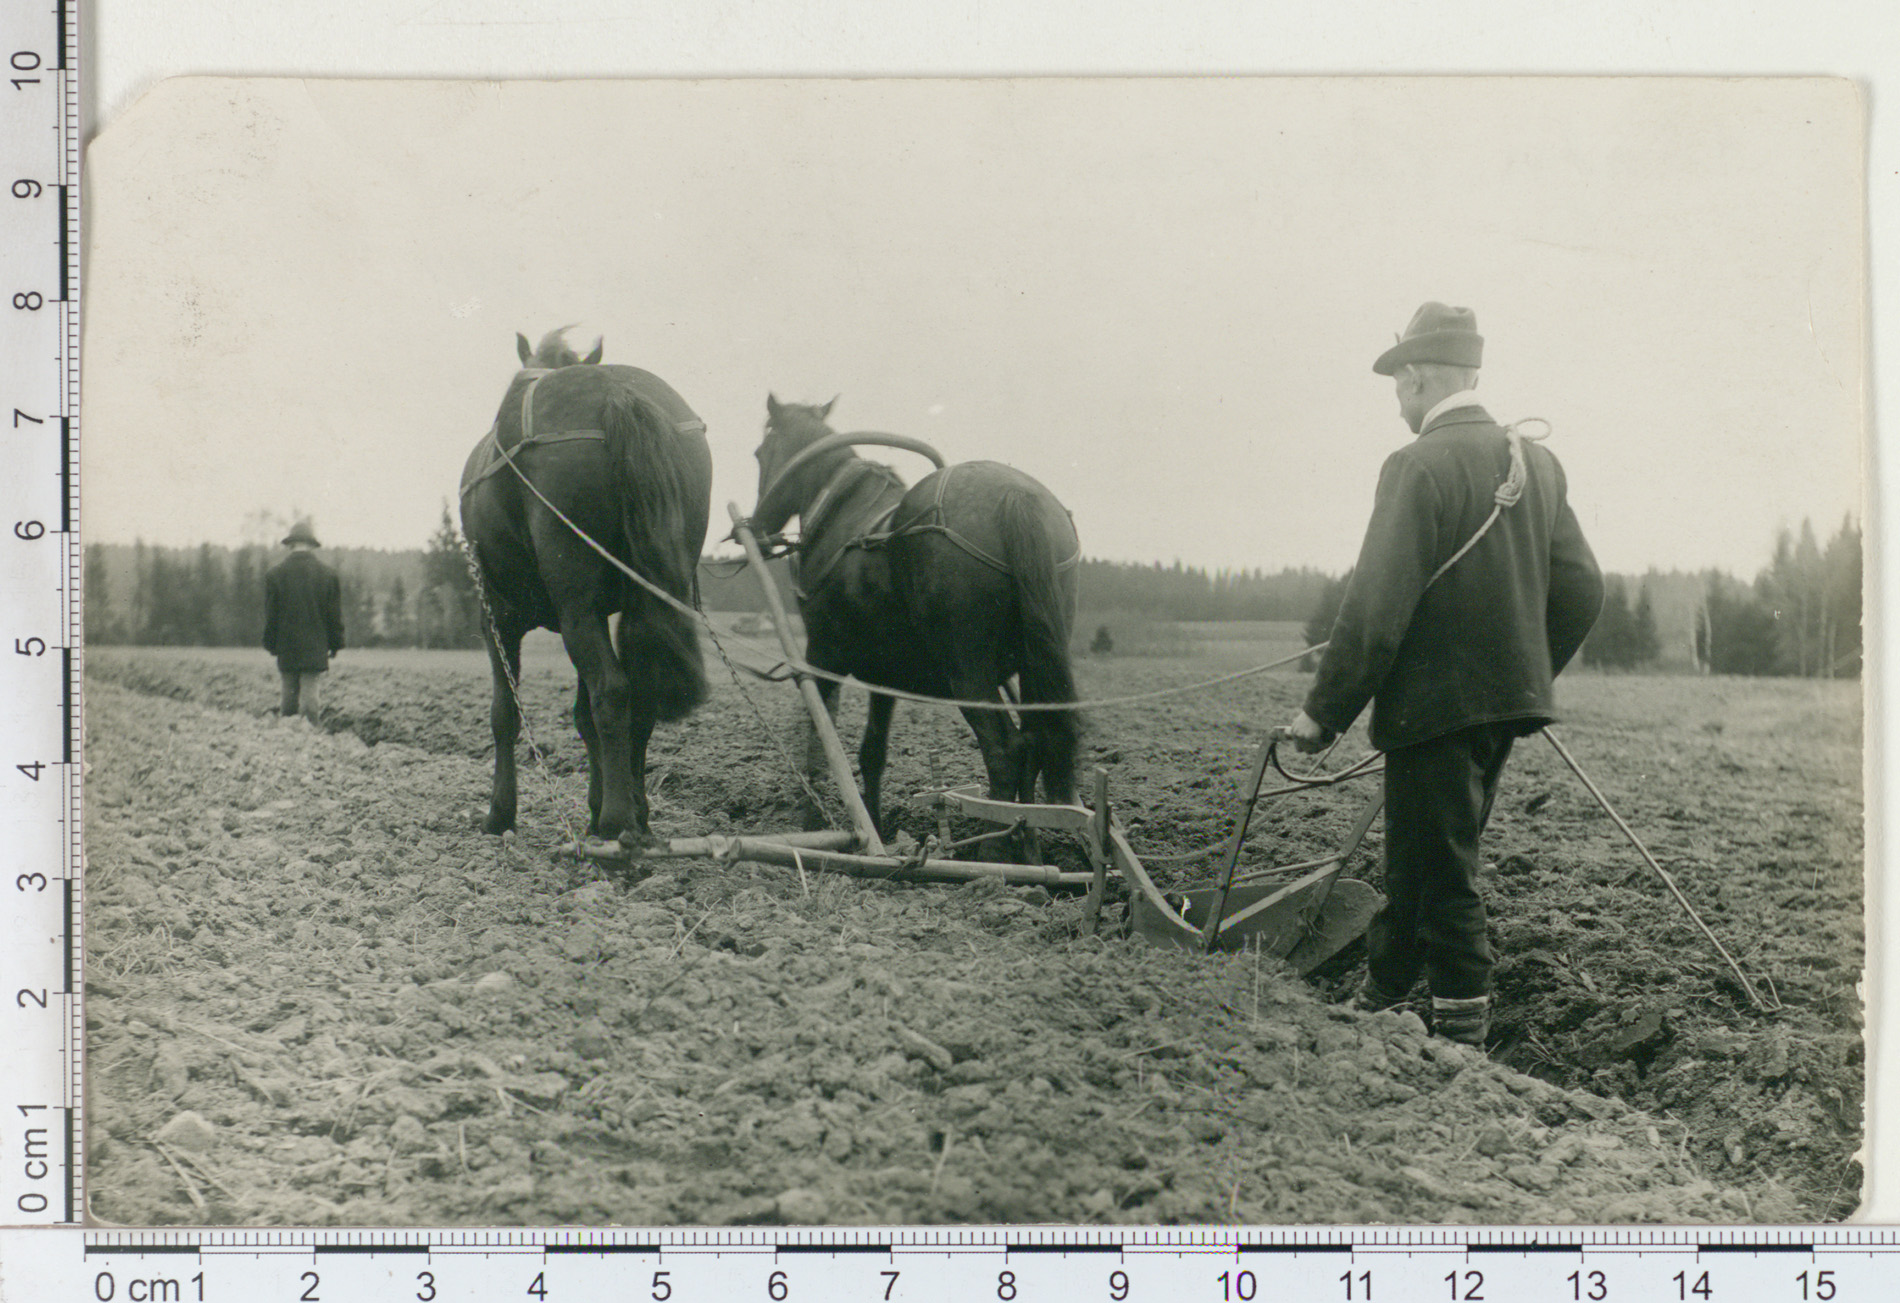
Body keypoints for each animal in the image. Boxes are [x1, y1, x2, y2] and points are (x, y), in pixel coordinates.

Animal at [459, 332, 714, 850]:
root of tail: (616, 392)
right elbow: (582, 717)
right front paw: (595, 810)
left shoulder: (497, 615)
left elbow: (504, 713)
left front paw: (500, 814)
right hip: (636, 600)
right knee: (638, 695)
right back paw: (637, 819)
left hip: (574, 605)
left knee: (612, 690)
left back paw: (618, 824)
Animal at [752, 393, 1086, 835]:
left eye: (760, 452)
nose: (756, 527)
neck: (840, 508)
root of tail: (1016, 496)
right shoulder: (883, 674)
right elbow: (871, 753)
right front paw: (876, 826)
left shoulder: (822, 656)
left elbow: (819, 743)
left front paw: (814, 823)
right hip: (1034, 664)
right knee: (1034, 743)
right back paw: (1024, 843)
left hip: (968, 673)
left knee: (1004, 751)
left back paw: (994, 847)